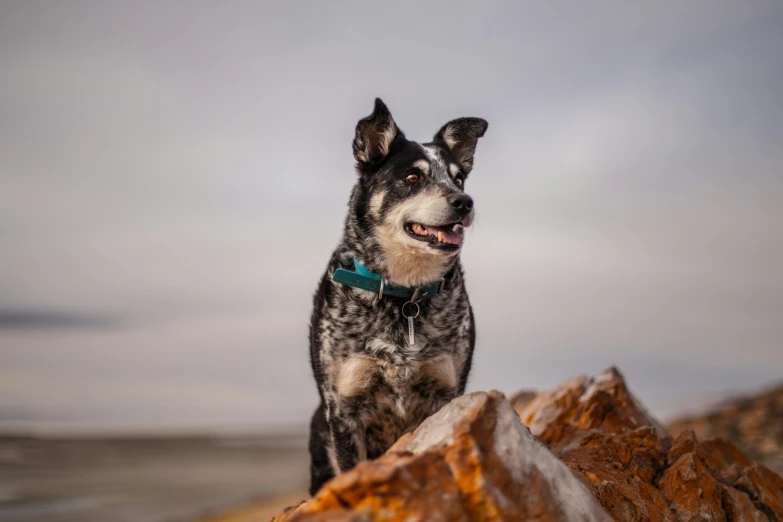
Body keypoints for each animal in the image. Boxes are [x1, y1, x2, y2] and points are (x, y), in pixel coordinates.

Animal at [304, 98, 484, 496]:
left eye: (458, 178)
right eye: (413, 178)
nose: (465, 201)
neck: (404, 296)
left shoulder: (445, 395)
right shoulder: (344, 409)